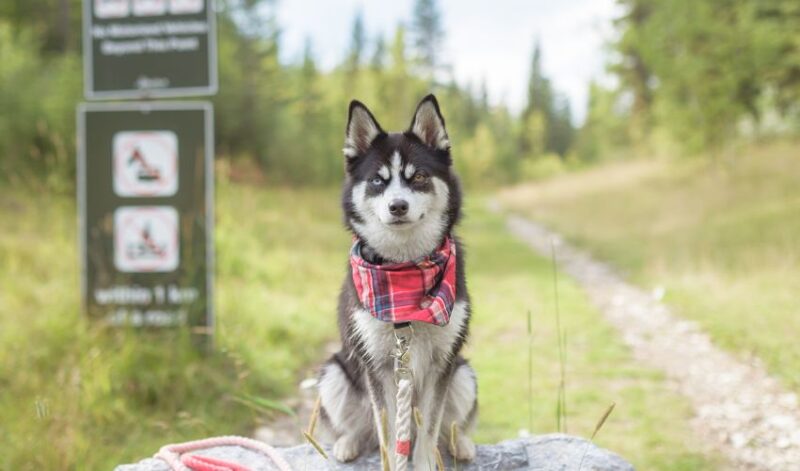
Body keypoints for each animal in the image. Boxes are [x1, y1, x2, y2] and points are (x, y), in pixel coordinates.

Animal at [318, 94, 478, 470]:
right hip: (334, 372)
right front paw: (394, 460)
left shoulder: (441, 365)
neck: (403, 271)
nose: (398, 206)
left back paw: (461, 444)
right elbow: (389, 434)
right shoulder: (377, 366)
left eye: (417, 176)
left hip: (464, 374)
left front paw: (424, 462)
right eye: (378, 181)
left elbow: (429, 431)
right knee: (360, 428)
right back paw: (347, 443)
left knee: (452, 425)